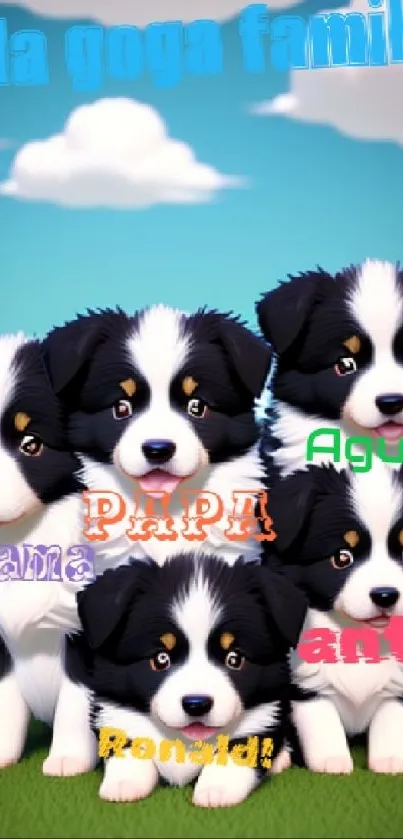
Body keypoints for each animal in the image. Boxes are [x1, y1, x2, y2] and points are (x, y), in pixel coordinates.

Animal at [66, 556, 308, 804]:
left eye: (235, 659)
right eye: (161, 659)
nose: (197, 704)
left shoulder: (263, 716)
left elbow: (238, 750)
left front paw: (216, 789)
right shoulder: (116, 712)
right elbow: (127, 745)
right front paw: (124, 783)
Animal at [266, 460, 403, 776]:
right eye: (342, 558)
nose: (386, 595)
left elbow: (391, 718)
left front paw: (390, 760)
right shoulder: (303, 683)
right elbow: (321, 718)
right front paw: (332, 761)